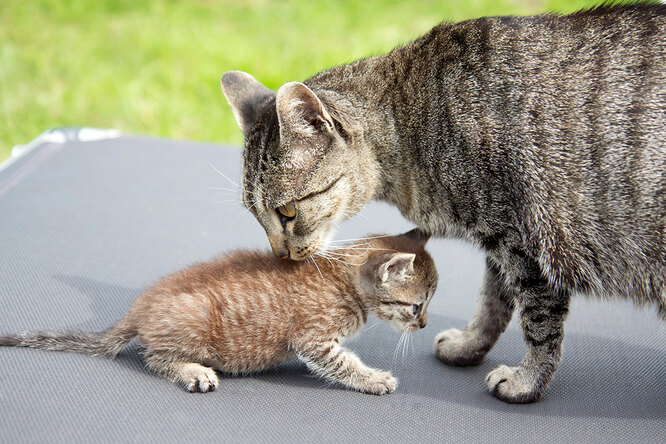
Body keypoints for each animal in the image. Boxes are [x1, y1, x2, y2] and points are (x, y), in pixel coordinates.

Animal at [0, 231, 436, 394]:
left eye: (428, 305)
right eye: (417, 305)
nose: (425, 323)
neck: (342, 277)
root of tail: (139, 307)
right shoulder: (313, 339)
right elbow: (343, 363)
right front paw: (373, 379)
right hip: (192, 322)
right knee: (152, 356)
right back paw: (193, 371)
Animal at [219, 3, 664, 404]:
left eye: (287, 212)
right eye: (256, 215)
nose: (280, 256)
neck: (410, 124)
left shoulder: (526, 243)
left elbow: (538, 324)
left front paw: (527, 382)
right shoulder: (500, 244)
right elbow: (493, 303)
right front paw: (470, 346)